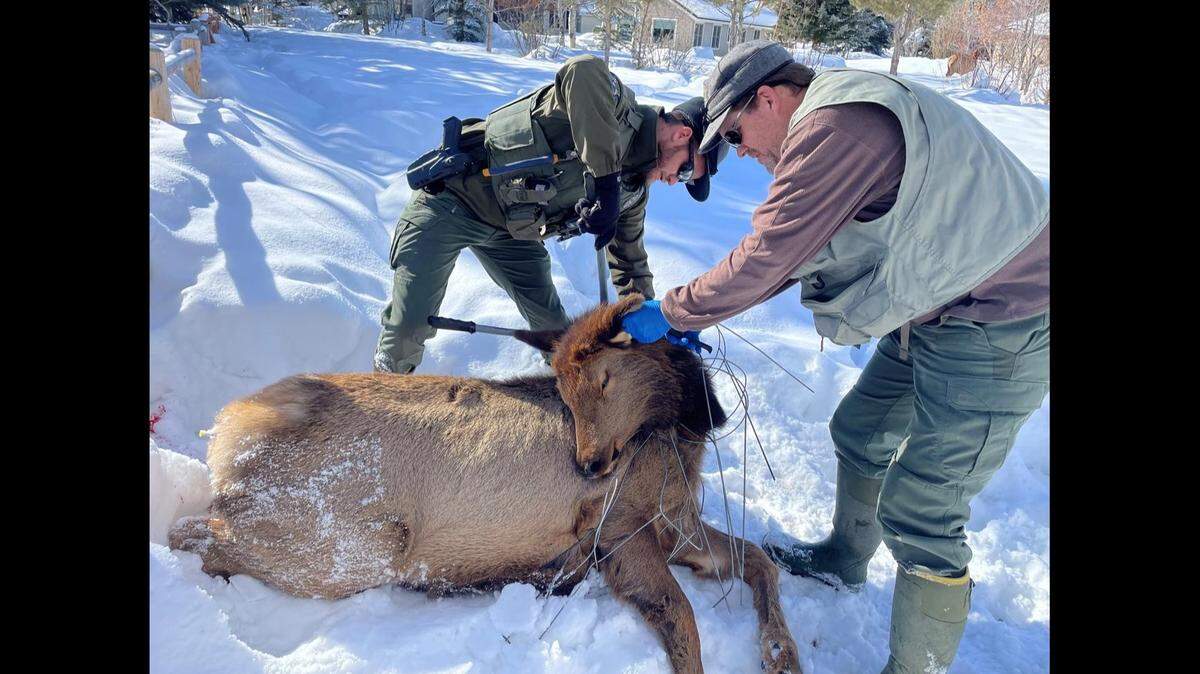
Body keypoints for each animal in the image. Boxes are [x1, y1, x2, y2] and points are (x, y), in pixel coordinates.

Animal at [169, 294, 801, 674]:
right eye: (567, 389)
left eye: (601, 380)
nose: (589, 465)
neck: (678, 439)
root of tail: (229, 430)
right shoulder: (619, 528)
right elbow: (683, 617)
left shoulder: (677, 526)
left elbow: (761, 560)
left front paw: (780, 655)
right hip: (350, 548)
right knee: (192, 532)